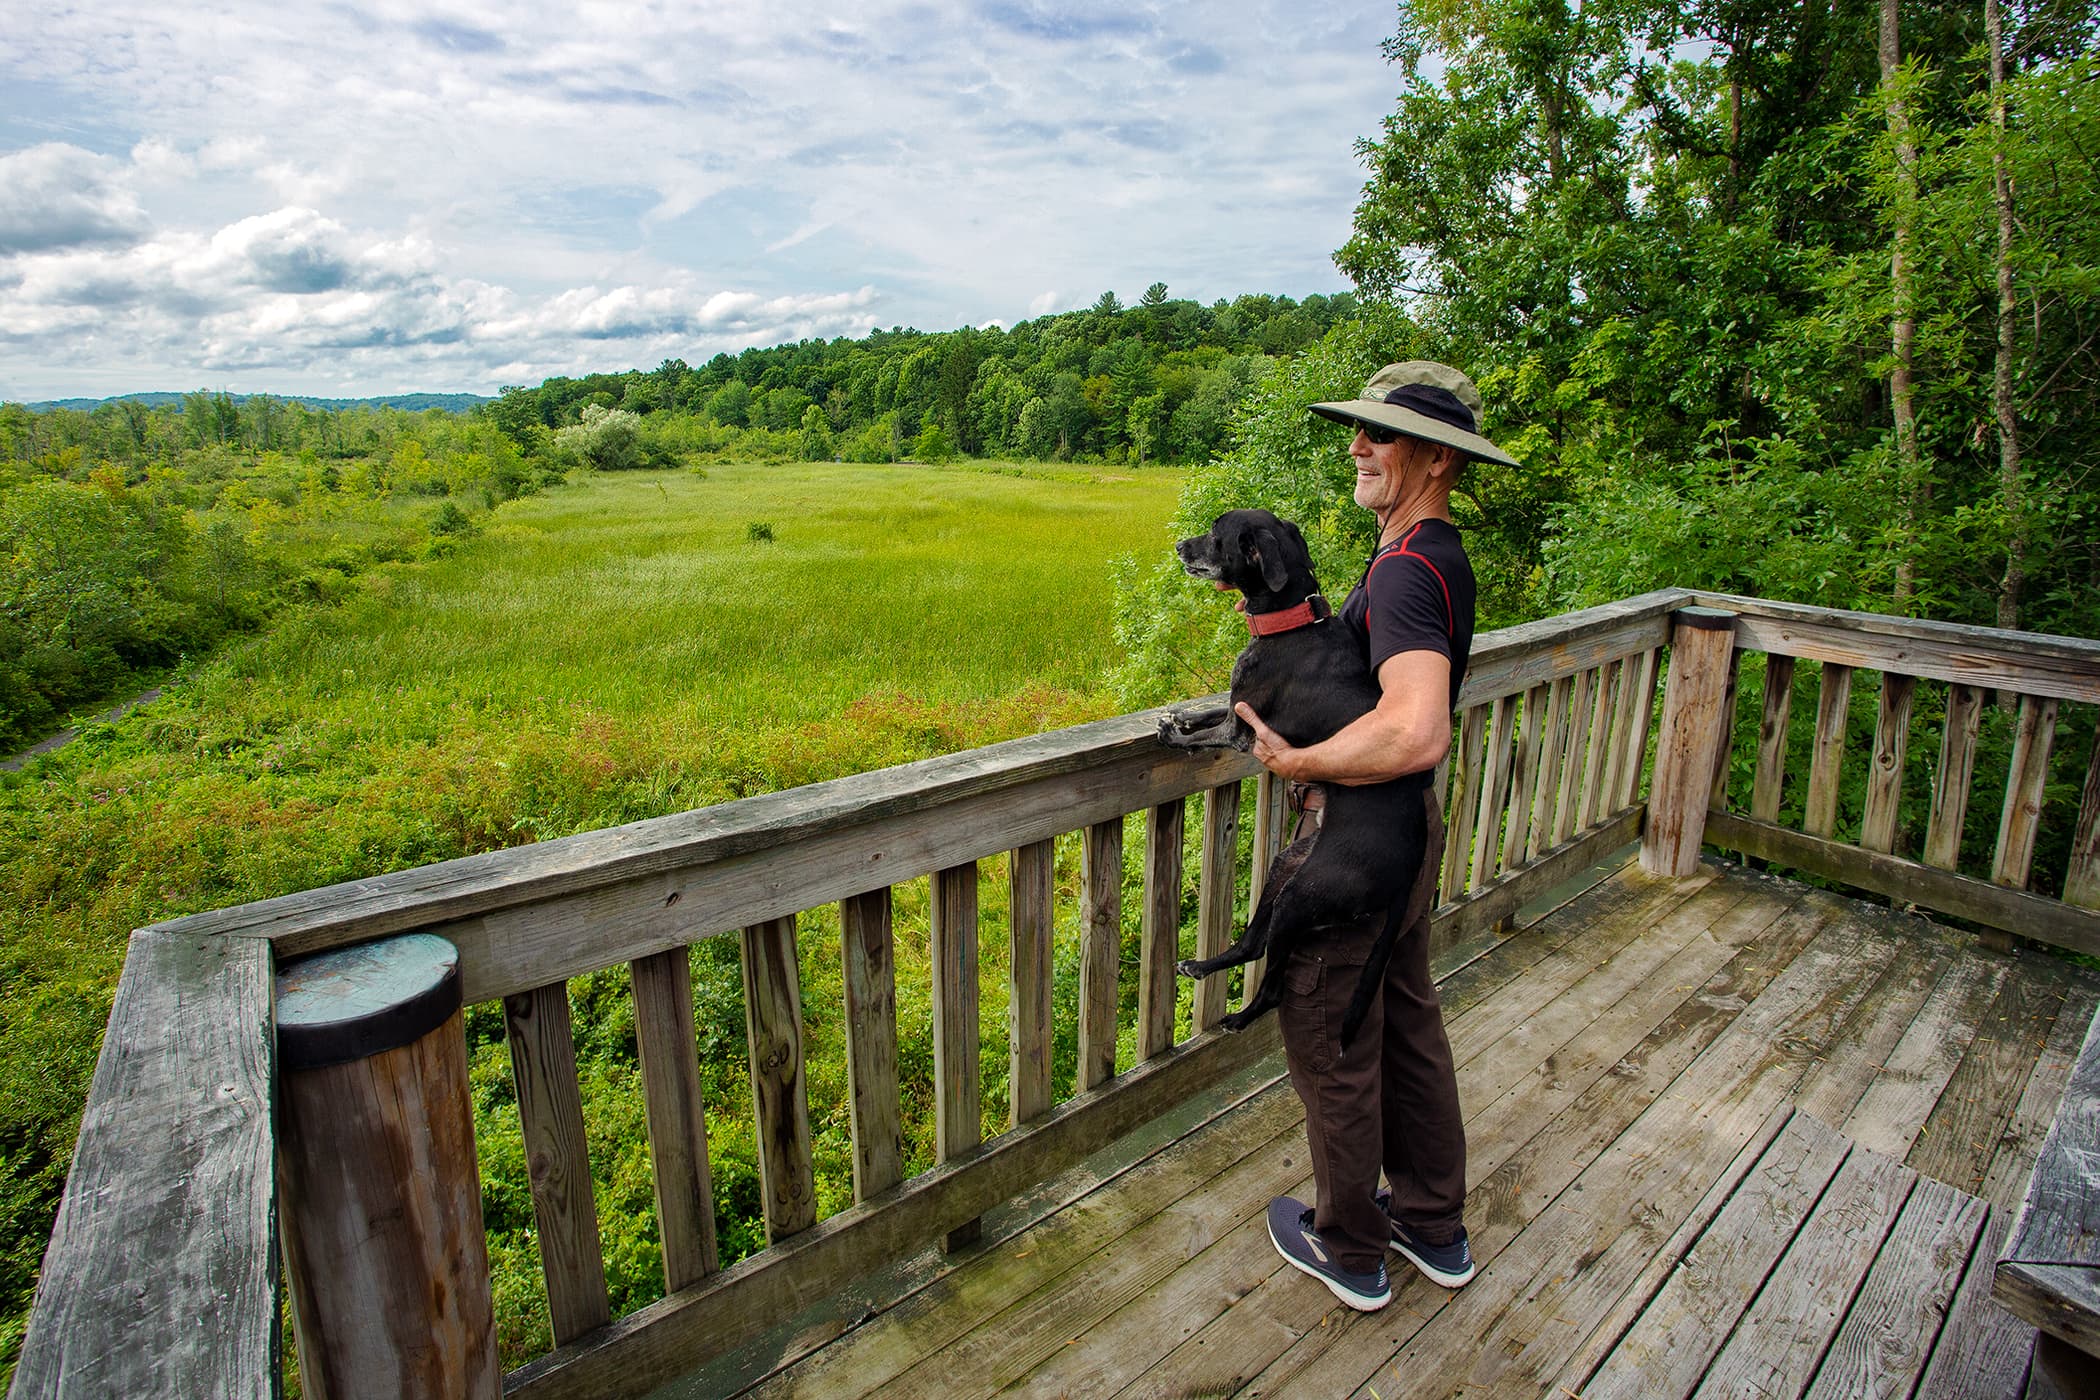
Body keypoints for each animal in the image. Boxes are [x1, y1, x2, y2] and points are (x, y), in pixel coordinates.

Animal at [1159, 510, 1436, 1045]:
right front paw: (1181, 716)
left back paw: (1238, 1017)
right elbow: (1209, 711)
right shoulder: (1236, 708)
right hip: (1288, 865)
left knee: (1271, 986)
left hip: (1303, 897)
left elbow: (1206, 734)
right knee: (1251, 944)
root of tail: (1409, 865)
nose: (1180, 545)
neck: (1289, 623)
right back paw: (1201, 966)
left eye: (1216, 535)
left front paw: (1172, 735)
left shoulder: (1242, 731)